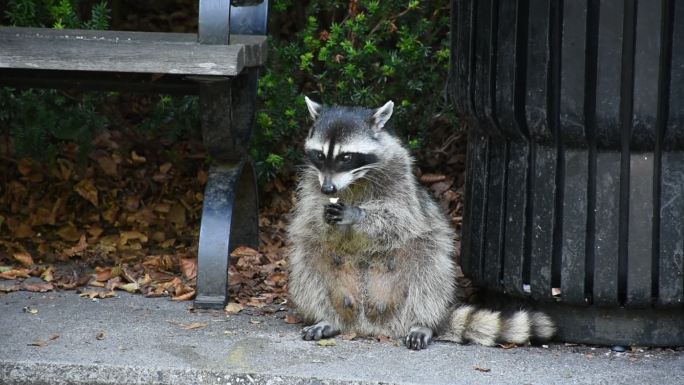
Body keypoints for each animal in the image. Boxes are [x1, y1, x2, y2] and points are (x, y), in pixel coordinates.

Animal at [286, 97, 560, 348]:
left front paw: (358, 215)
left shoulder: (400, 175)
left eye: (346, 157)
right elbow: (309, 217)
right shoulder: (312, 181)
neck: (355, 180)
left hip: (423, 258)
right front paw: (324, 215)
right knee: (307, 264)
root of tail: (370, 326)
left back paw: (422, 321)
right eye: (320, 155)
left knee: (431, 270)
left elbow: (398, 218)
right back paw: (327, 317)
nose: (328, 188)